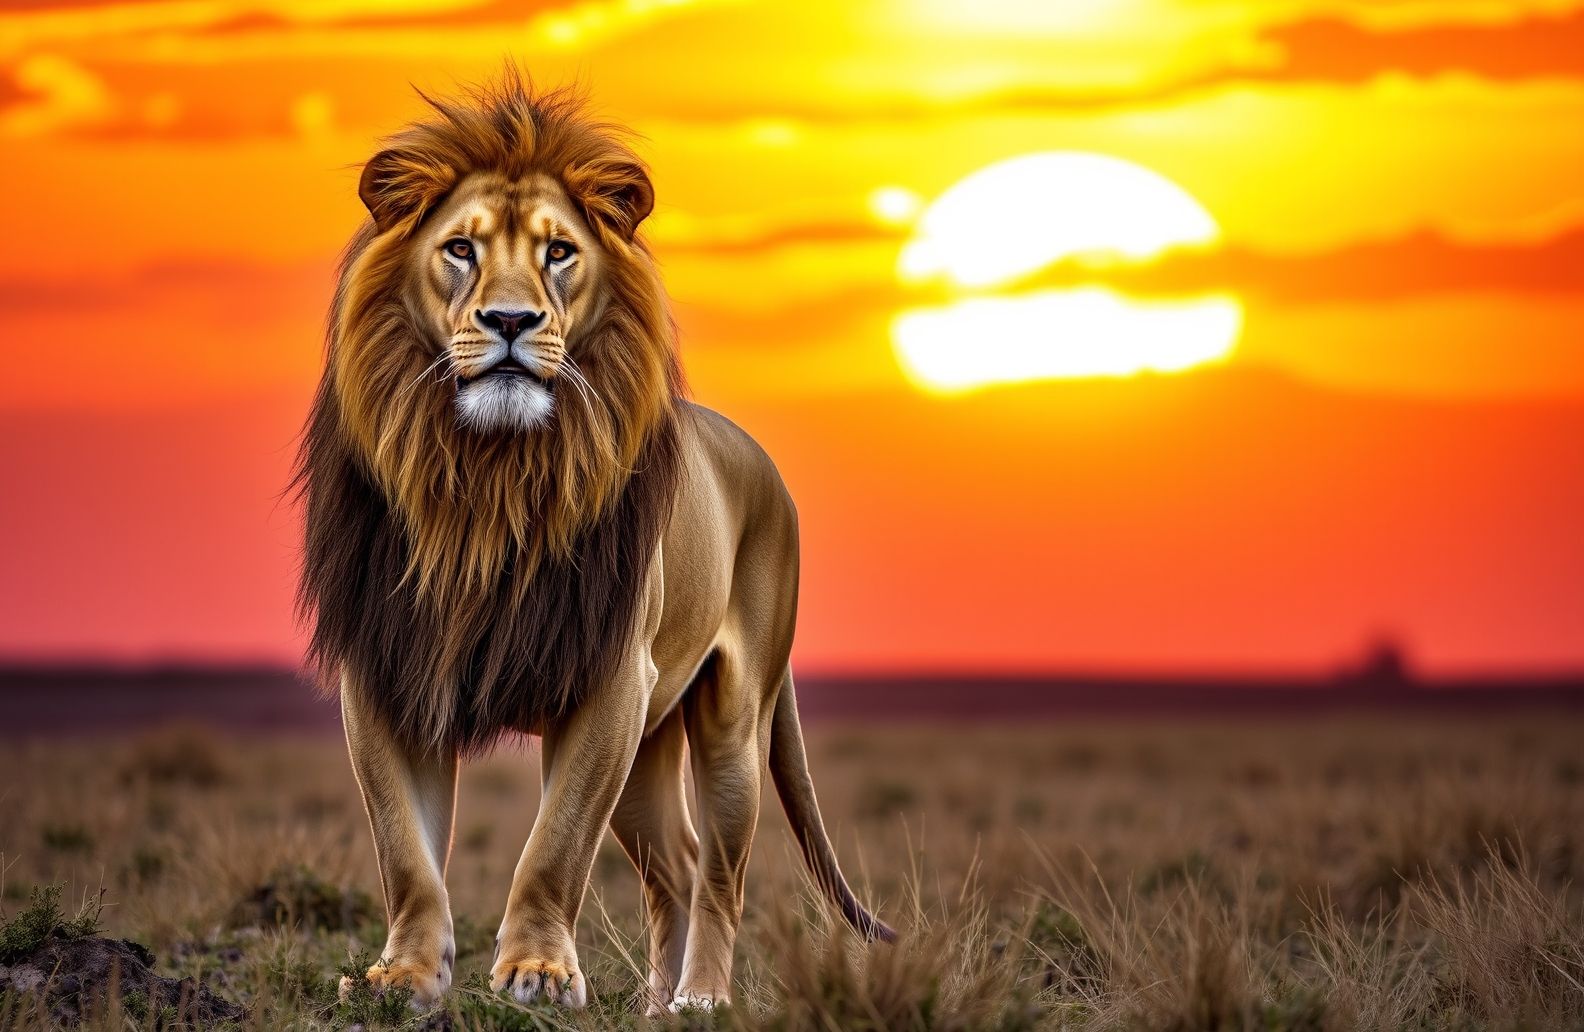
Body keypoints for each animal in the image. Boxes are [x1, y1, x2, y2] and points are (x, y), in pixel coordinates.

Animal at [294, 72, 893, 1014]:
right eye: (459, 249)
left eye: (559, 252)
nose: (508, 319)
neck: (486, 481)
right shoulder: (390, 670)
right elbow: (405, 851)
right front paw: (403, 977)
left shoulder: (610, 678)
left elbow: (556, 844)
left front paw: (537, 971)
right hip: (650, 747)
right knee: (674, 867)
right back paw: (654, 1007)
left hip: (731, 721)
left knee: (721, 872)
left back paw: (700, 1000)